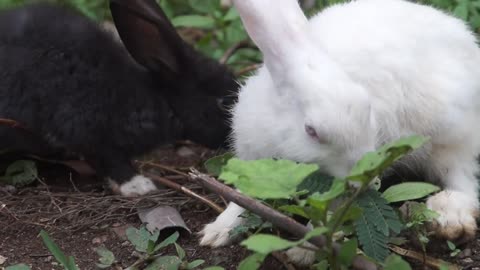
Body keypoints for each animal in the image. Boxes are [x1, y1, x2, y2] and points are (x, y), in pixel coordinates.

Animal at [199, 0, 480, 264]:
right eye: (311, 131)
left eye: (368, 109)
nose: (366, 182)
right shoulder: (252, 159)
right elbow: (241, 198)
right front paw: (217, 232)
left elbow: (331, 213)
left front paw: (304, 251)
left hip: (449, 135)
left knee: (463, 180)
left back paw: (449, 216)